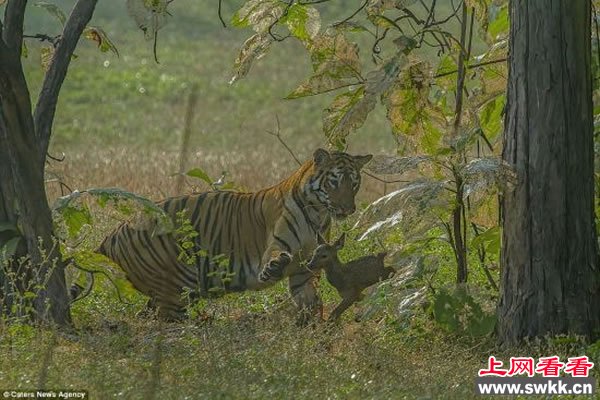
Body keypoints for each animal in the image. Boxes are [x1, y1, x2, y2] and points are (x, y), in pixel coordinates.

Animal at [96, 148, 372, 320]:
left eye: (354, 183)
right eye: (334, 182)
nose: (348, 209)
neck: (317, 213)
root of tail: (112, 234)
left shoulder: (305, 271)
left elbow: (312, 303)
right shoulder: (277, 244)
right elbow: (275, 258)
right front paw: (274, 267)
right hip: (177, 285)